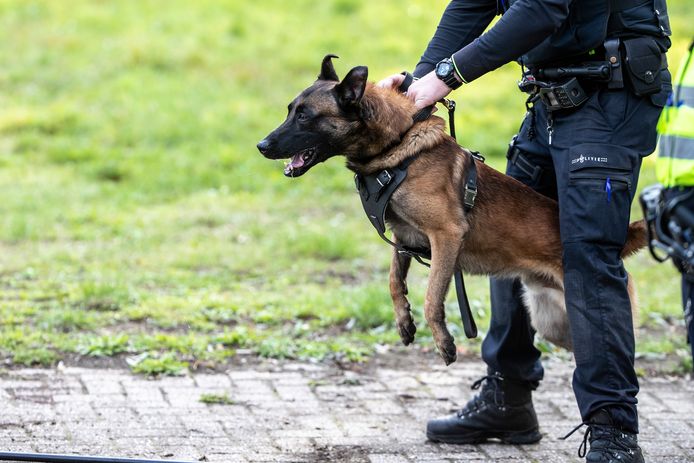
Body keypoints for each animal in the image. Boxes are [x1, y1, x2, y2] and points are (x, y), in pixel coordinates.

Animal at [258, 55, 648, 366]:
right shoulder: (404, 237)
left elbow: (432, 298)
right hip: (553, 323)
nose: (262, 146)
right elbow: (394, 282)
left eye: (305, 116)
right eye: (290, 110)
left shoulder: (446, 238)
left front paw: (444, 343)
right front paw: (404, 322)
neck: (396, 149)